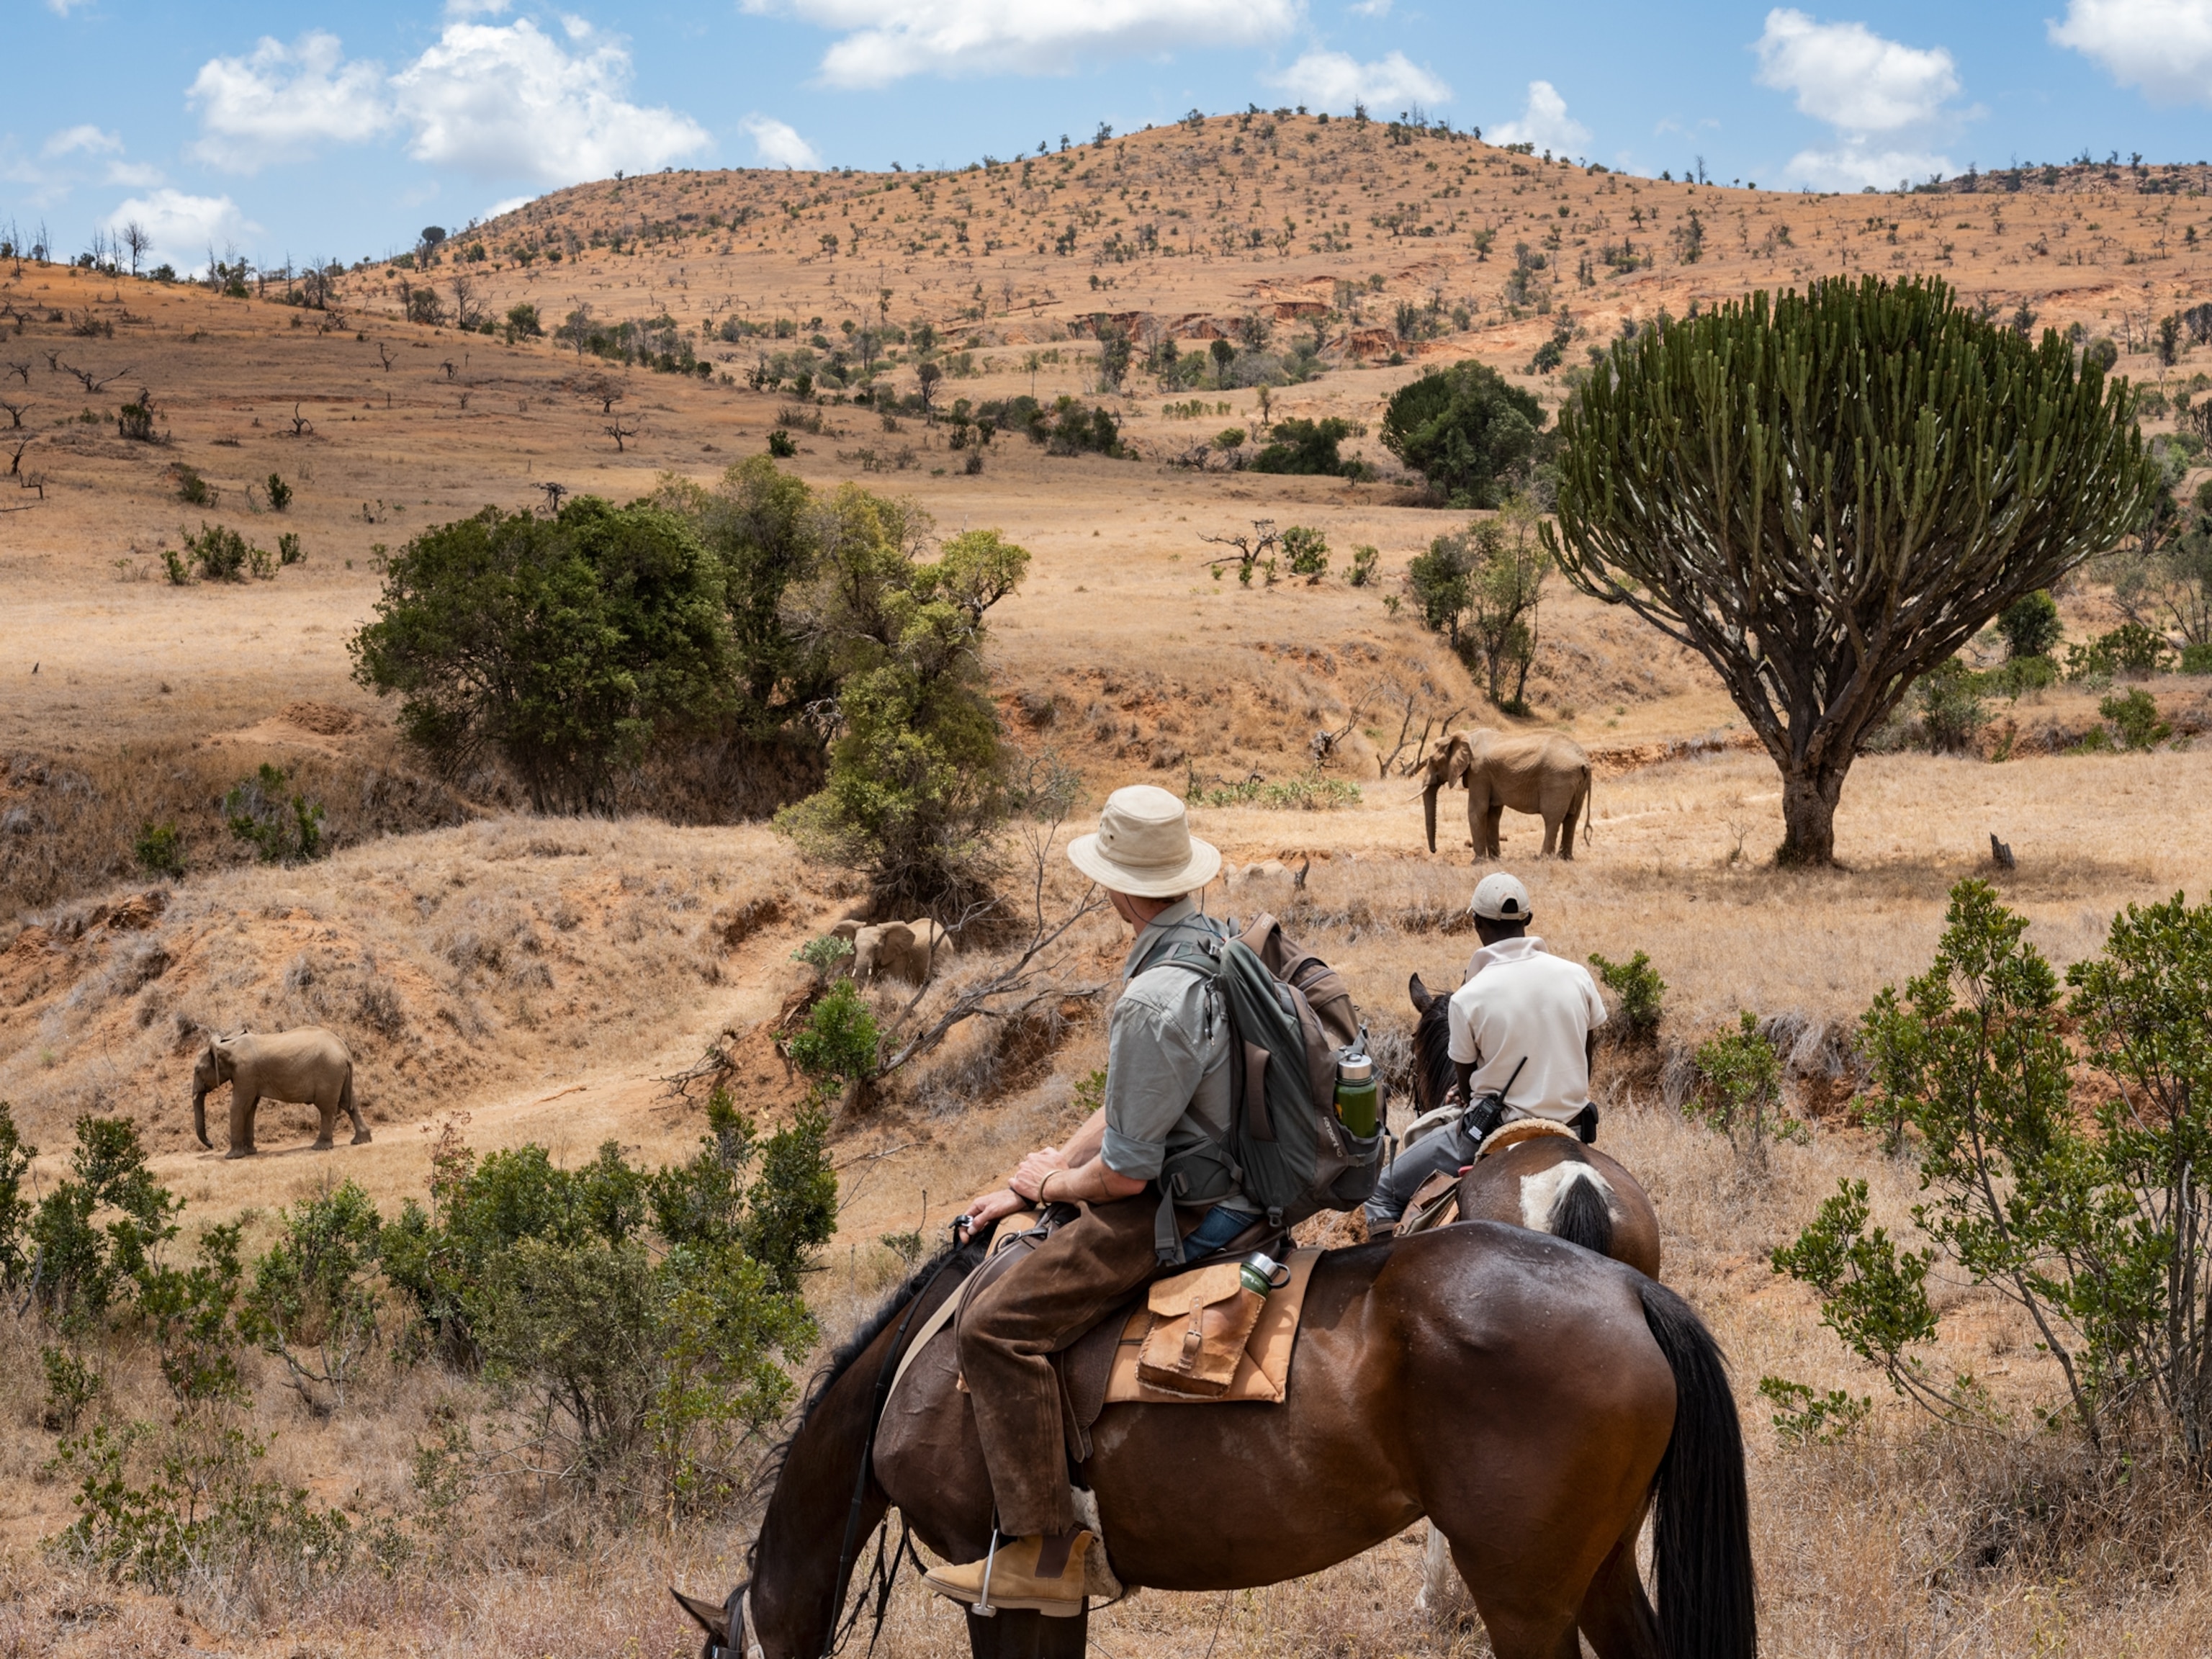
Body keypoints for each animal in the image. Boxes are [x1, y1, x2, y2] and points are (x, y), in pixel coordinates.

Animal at [190, 1026, 367, 1159]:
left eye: (197, 1071)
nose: (211, 1145)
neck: (227, 1046)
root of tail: (346, 1052)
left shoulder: (245, 1072)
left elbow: (238, 1106)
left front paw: (232, 1157)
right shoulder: (248, 1077)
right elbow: (250, 1108)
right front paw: (250, 1152)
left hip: (329, 1072)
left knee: (327, 1108)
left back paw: (320, 1147)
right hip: (338, 1074)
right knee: (348, 1104)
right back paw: (361, 1141)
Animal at [667, 1212, 1743, 1654]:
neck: (914, 1379)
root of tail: (1628, 1290)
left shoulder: (993, 1581)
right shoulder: (1054, 1595)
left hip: (1522, 1593)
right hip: (1596, 1569)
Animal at [1433, 729, 1592, 863]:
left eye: (1432, 761)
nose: (1434, 851)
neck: (1467, 735)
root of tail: (1584, 761)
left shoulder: (1478, 773)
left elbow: (1477, 810)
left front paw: (1477, 863)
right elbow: (1493, 812)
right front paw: (1494, 860)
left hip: (1558, 780)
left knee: (1552, 818)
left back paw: (1543, 859)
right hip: (1576, 784)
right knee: (1572, 818)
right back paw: (1566, 859)